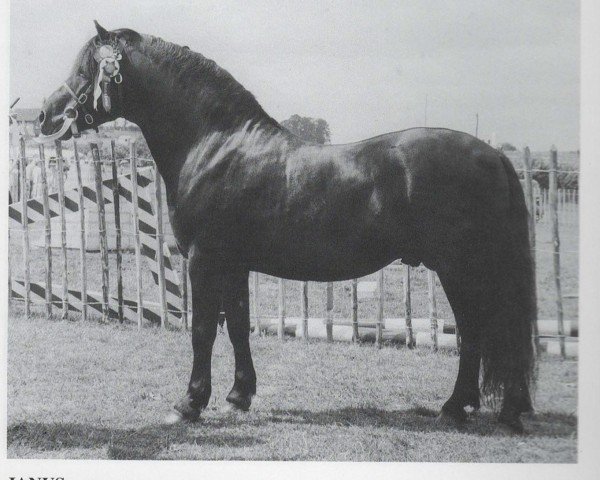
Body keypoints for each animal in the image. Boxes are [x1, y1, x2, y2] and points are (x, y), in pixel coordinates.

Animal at [36, 21, 536, 436]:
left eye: (86, 69)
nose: (44, 115)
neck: (215, 145)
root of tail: (494, 155)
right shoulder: (233, 264)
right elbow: (237, 326)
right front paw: (238, 397)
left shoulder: (203, 259)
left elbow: (203, 330)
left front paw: (189, 404)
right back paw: (482, 408)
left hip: (461, 268)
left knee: (479, 331)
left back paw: (465, 409)